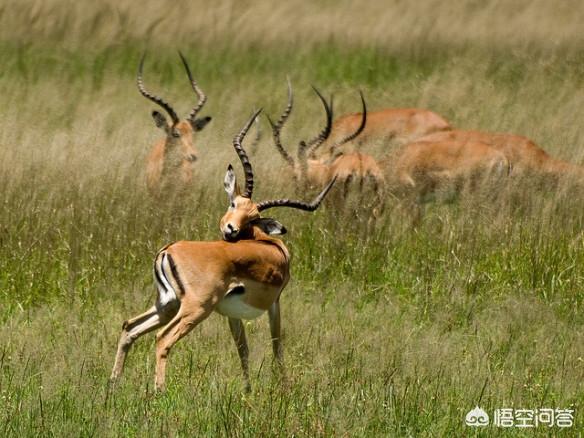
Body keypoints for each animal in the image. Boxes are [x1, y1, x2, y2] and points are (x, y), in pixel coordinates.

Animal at [111, 111, 336, 392]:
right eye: (233, 203)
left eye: (253, 217)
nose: (230, 229)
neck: (269, 245)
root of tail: (168, 250)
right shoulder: (275, 303)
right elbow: (277, 346)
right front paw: (282, 389)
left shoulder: (232, 312)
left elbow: (243, 349)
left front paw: (248, 391)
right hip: (194, 308)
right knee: (162, 339)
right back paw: (158, 392)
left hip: (167, 305)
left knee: (129, 326)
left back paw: (113, 384)